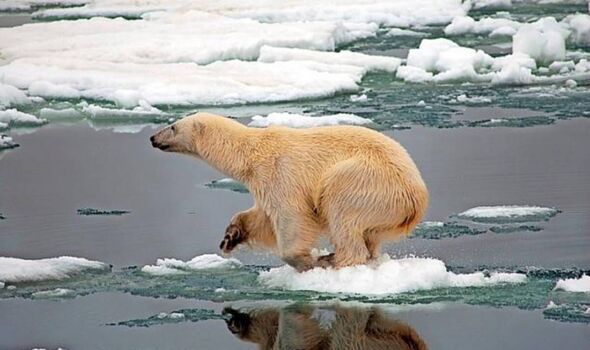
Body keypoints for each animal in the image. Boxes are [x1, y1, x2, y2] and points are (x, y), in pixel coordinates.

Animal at [151, 112, 430, 270]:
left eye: (173, 126)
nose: (153, 138)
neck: (252, 152)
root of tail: (417, 198)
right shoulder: (263, 182)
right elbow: (261, 218)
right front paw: (231, 236)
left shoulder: (280, 174)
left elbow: (292, 218)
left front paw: (306, 261)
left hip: (368, 181)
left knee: (341, 209)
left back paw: (334, 259)